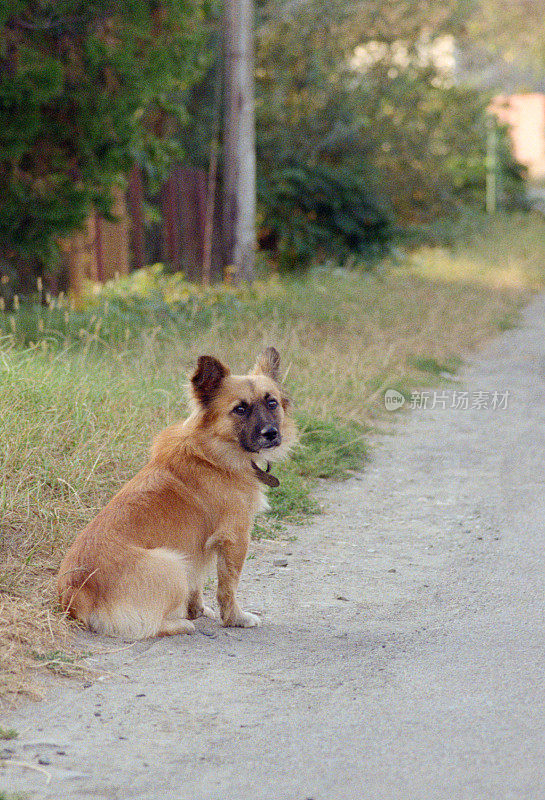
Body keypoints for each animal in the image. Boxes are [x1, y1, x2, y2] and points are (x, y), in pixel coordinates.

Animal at [55, 346, 296, 640]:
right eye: (240, 409)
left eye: (272, 403)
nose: (271, 434)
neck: (213, 452)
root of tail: (76, 596)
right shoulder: (235, 538)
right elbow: (228, 587)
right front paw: (235, 618)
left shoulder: (198, 549)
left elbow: (198, 584)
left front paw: (198, 610)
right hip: (172, 564)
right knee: (151, 626)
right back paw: (181, 624)